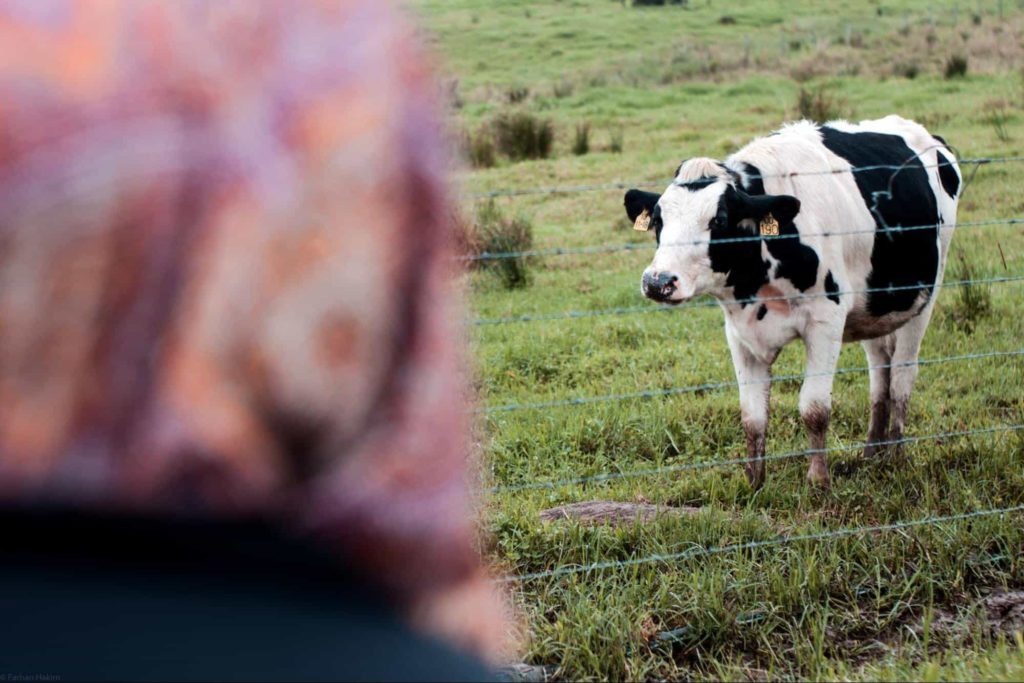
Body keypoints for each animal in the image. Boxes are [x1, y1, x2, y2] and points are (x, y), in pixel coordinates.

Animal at [622, 118, 958, 491]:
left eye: (719, 220)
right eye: (658, 220)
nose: (658, 281)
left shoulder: (826, 322)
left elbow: (814, 408)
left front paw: (818, 481)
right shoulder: (739, 333)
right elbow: (752, 416)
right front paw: (754, 484)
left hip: (925, 295)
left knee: (901, 377)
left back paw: (896, 456)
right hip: (875, 309)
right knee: (879, 375)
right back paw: (873, 452)